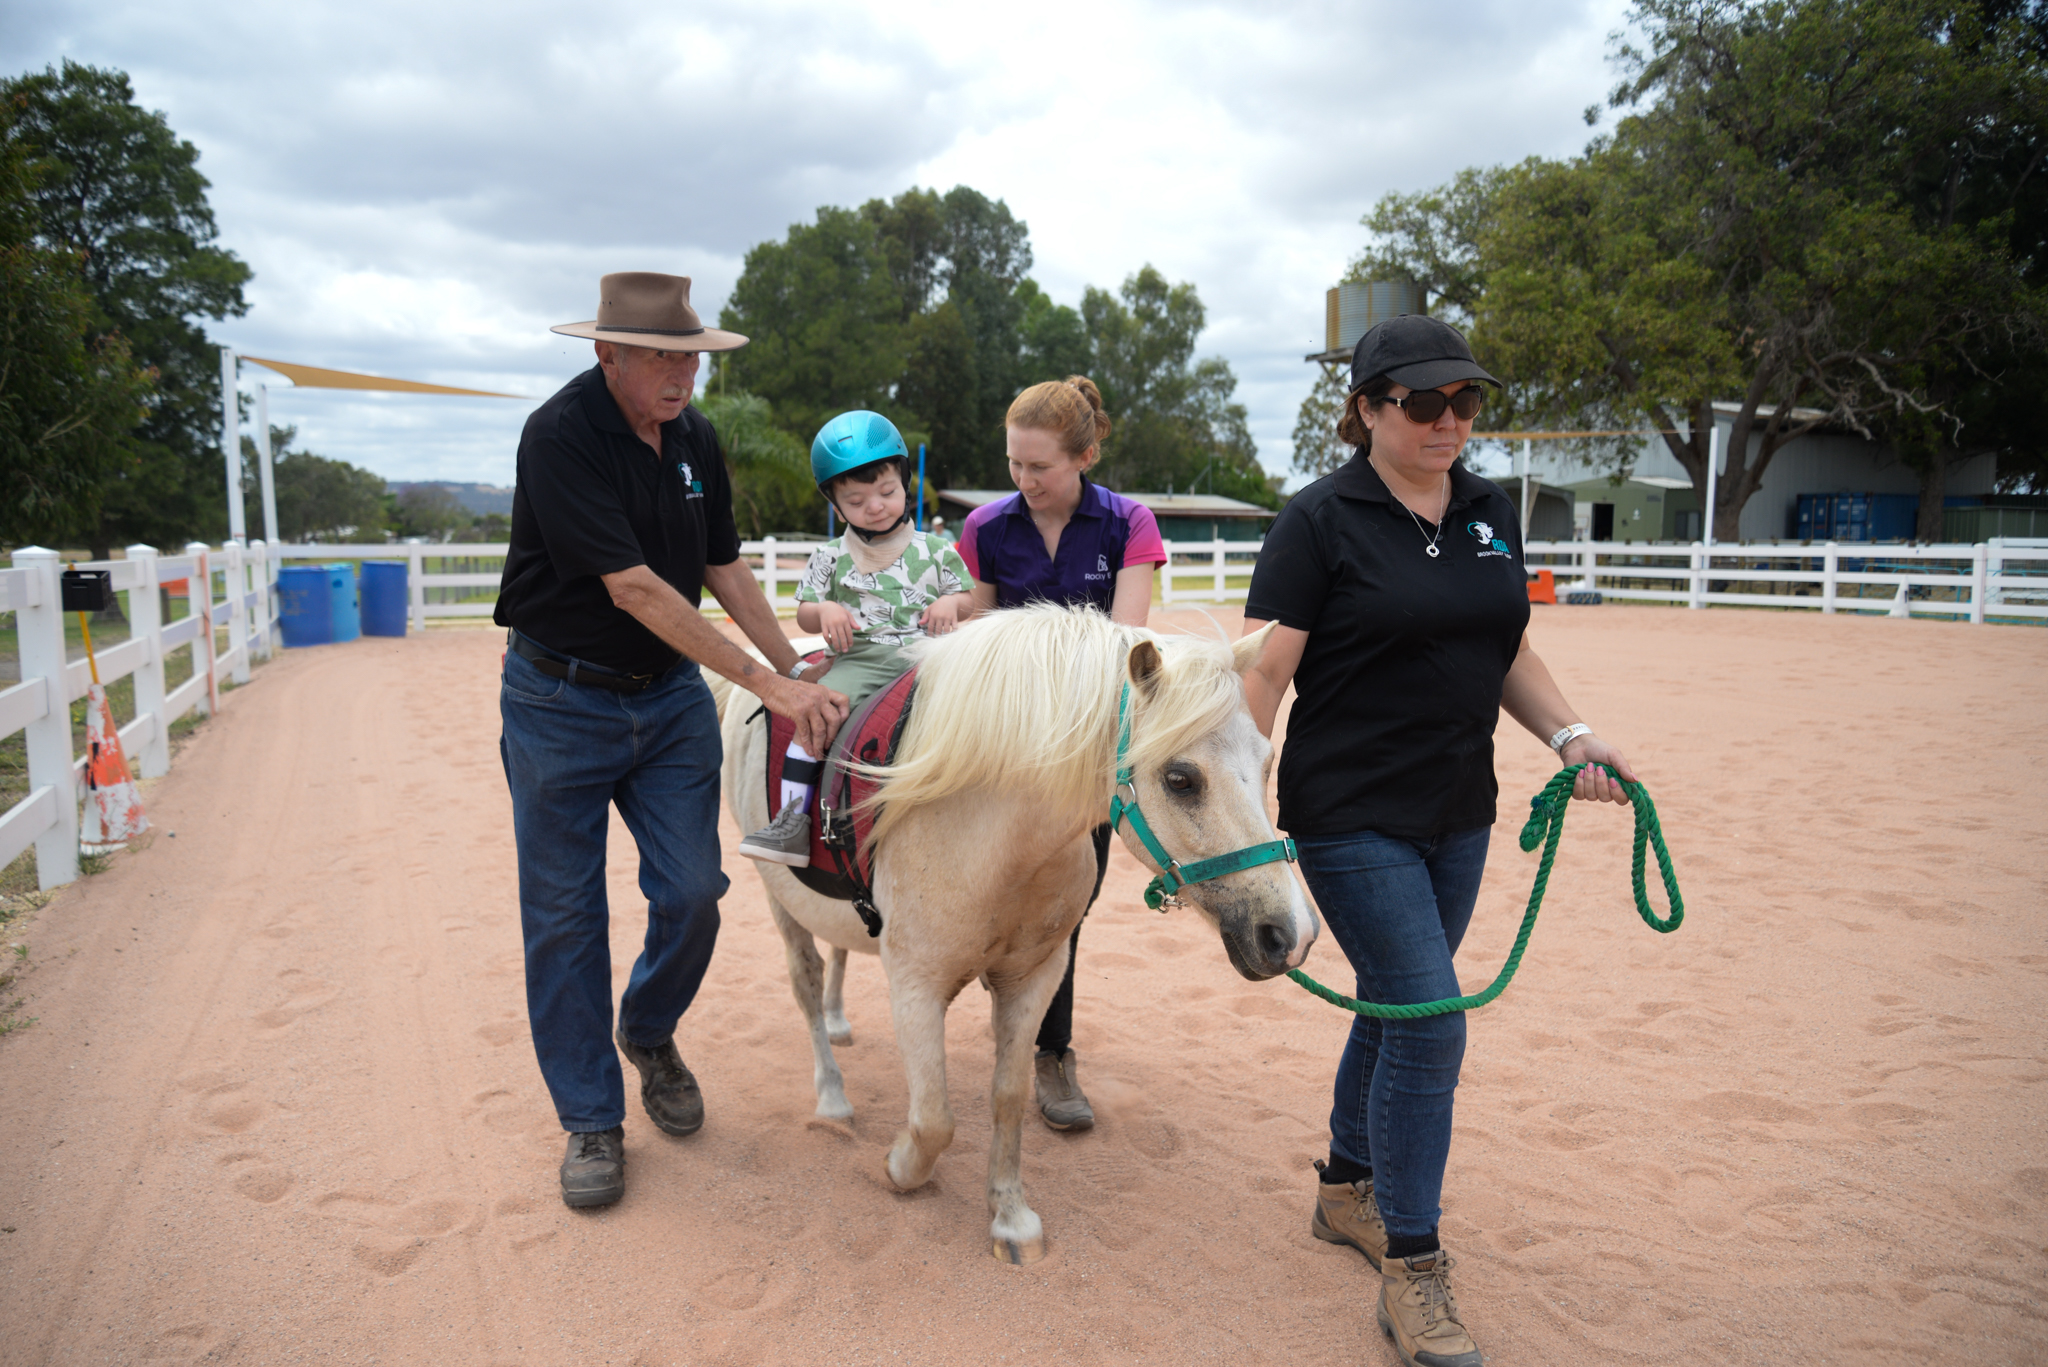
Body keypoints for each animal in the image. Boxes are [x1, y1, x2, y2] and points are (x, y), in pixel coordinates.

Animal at [716, 602, 1310, 1270]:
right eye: (1181, 778)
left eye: (1266, 761)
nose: (1289, 934)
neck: (994, 833)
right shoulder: (915, 985)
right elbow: (934, 1121)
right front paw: (899, 1169)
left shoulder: (1035, 977)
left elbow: (1008, 1096)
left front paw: (1010, 1217)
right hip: (780, 901)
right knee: (807, 984)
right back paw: (832, 1096)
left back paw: (842, 1024)